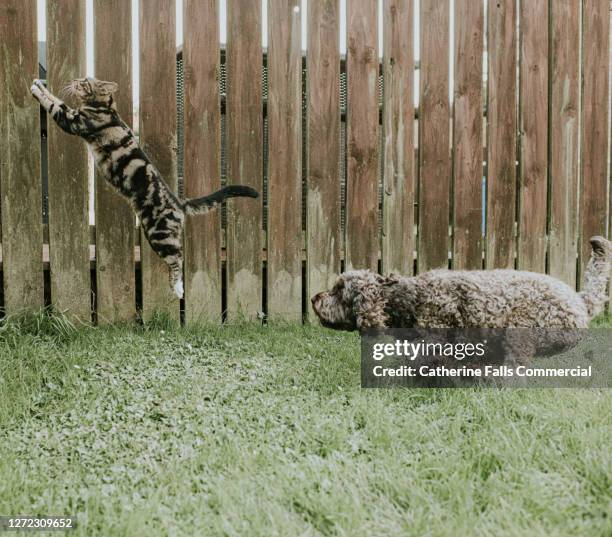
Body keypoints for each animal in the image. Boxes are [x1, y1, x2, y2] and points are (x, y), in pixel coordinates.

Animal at [30, 78, 258, 300]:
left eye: (85, 82)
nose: (75, 80)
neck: (106, 107)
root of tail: (178, 202)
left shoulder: (73, 121)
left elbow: (54, 104)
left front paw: (36, 90)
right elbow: (57, 100)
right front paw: (40, 83)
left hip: (159, 234)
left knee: (177, 259)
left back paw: (177, 288)